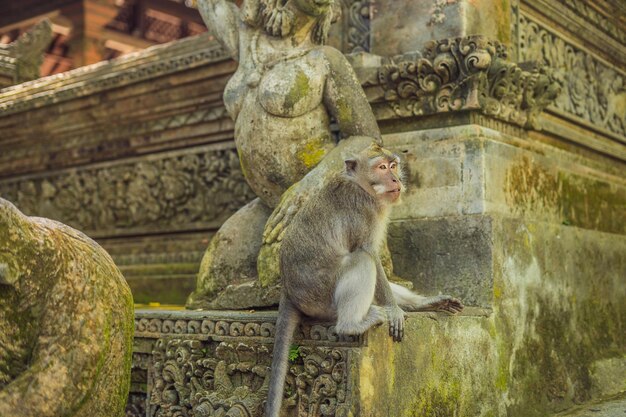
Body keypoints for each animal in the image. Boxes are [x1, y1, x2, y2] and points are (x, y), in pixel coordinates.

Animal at [264, 141, 464, 414]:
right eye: (381, 167)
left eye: (393, 165)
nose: (395, 179)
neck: (361, 185)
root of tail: (288, 289)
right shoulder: (364, 210)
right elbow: (370, 253)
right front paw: (393, 310)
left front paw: (419, 304)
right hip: (320, 299)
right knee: (362, 260)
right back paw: (353, 324)